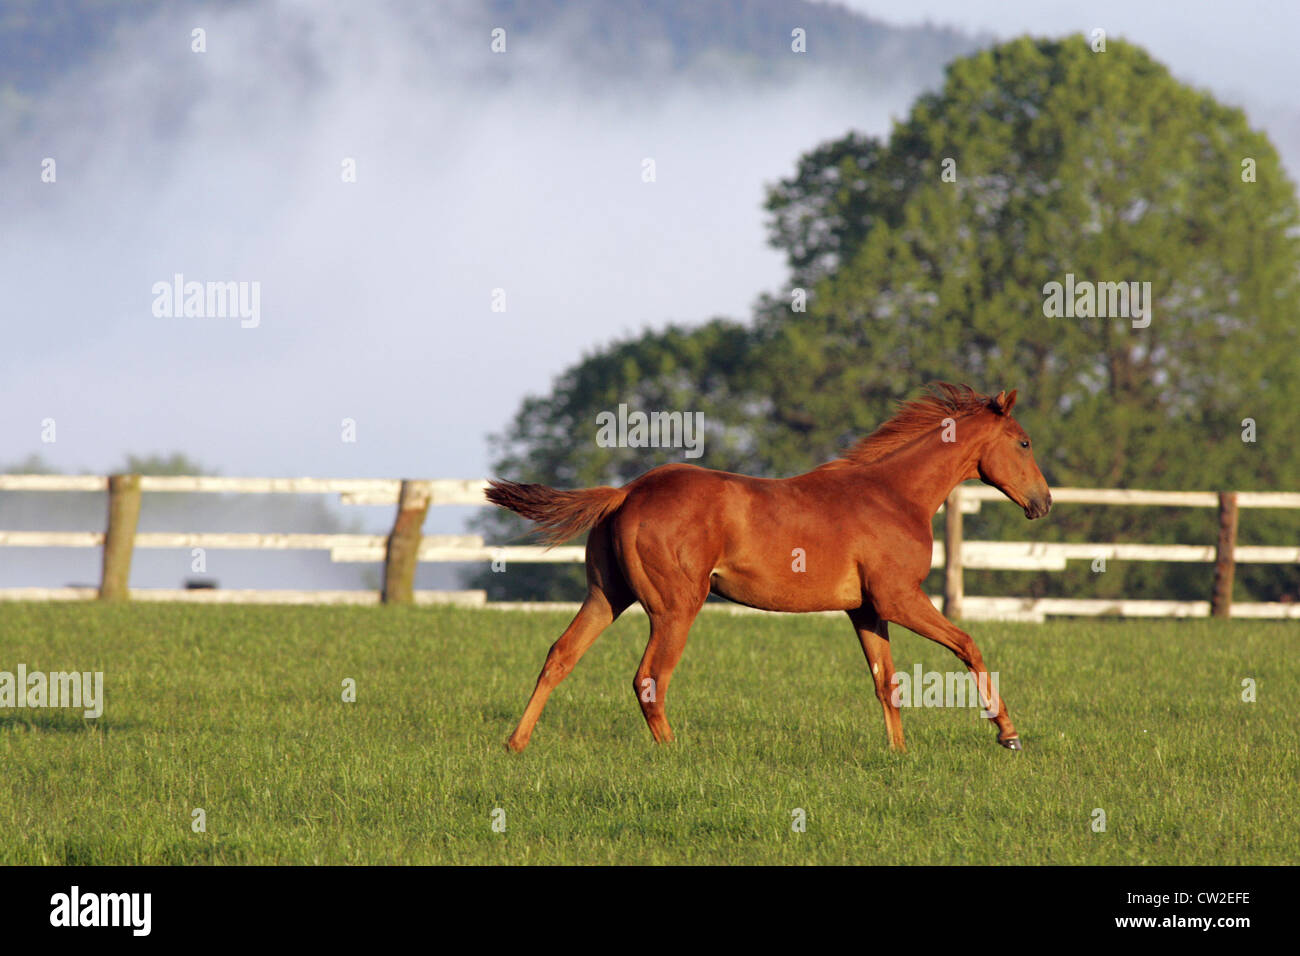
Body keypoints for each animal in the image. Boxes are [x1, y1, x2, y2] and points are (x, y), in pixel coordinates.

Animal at [483, 385, 1050, 749]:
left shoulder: (867, 609)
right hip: (674, 608)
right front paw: (1008, 734)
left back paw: (516, 744)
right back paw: (675, 753)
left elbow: (886, 681)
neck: (893, 494)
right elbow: (968, 645)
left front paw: (899, 754)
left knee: (560, 656)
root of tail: (628, 491)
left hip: (607, 596)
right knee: (649, 678)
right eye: (1024, 442)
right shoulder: (900, 598)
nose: (1042, 502)